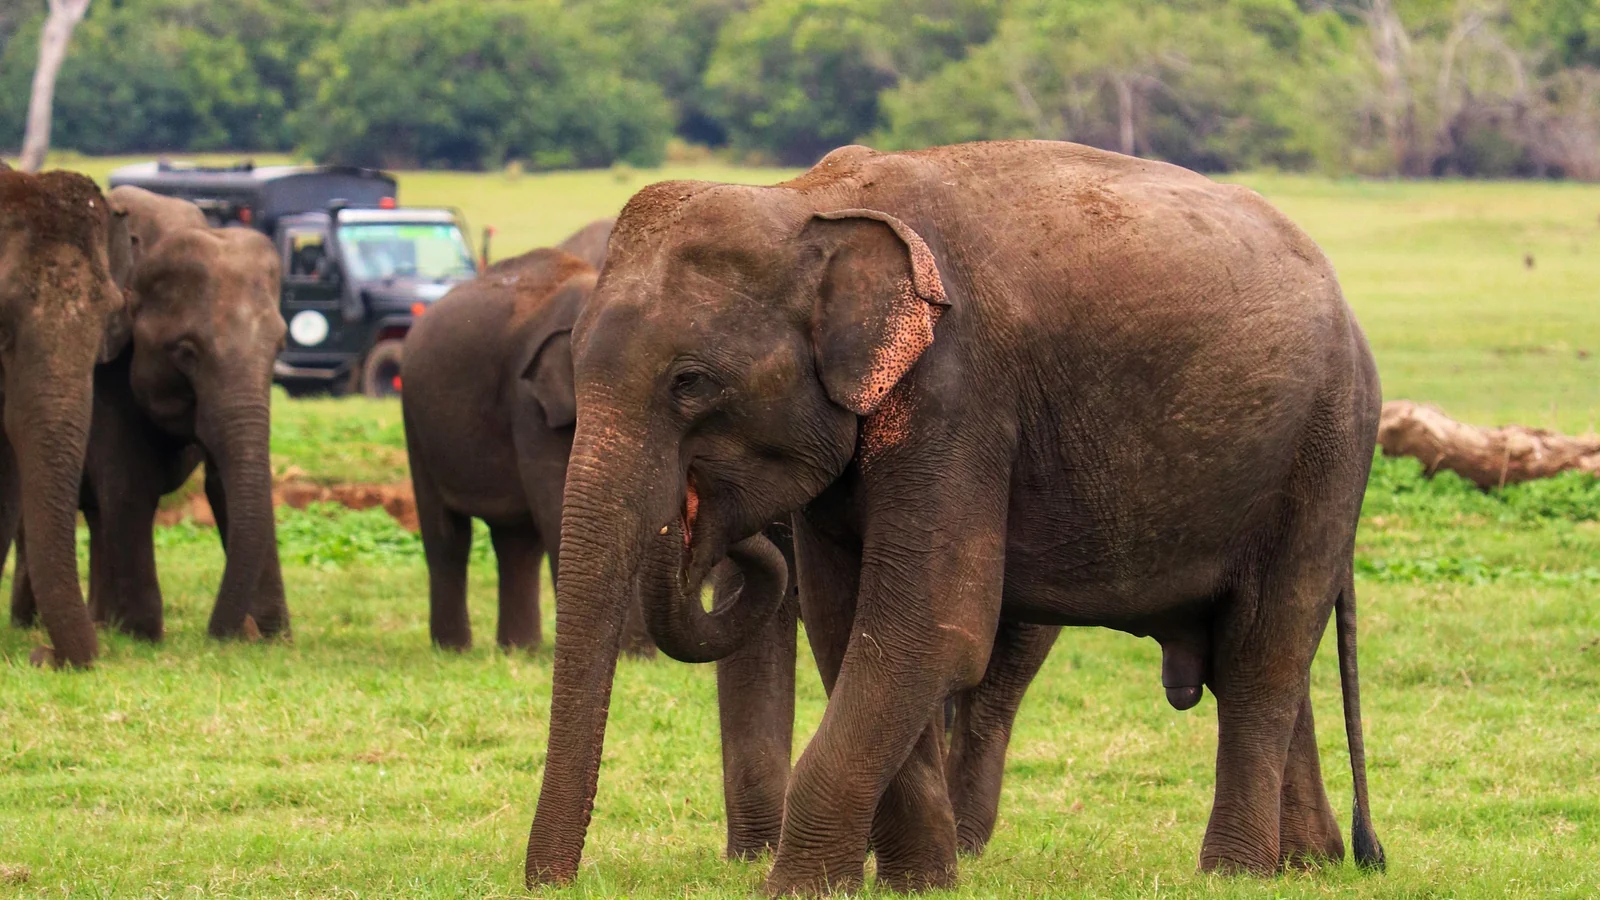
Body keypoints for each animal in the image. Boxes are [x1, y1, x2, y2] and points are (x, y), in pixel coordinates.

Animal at [13, 186, 290, 642]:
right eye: (186, 352)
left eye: (280, 347)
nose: (224, 635)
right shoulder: (107, 370)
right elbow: (130, 480)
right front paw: (143, 635)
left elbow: (223, 482)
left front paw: (274, 640)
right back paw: (32, 625)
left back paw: (99, 622)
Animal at [524, 140, 1385, 895]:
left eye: (691, 383)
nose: (553, 884)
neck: (809, 201)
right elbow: (848, 630)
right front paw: (918, 883)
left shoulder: (959, 395)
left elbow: (928, 631)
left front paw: (801, 889)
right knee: (1265, 654)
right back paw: (1306, 864)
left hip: (1327, 449)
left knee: (1265, 651)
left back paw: (1234, 872)